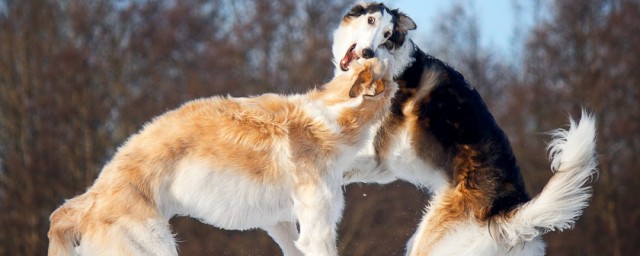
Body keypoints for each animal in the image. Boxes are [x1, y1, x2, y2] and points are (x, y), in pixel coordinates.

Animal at [48, 54, 396, 256]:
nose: (375, 49)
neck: (332, 115)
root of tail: (88, 201)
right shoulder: (317, 222)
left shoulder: (280, 221)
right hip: (152, 245)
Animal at [332, 2, 596, 256]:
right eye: (370, 20)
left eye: (387, 35)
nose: (367, 52)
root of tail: (506, 213)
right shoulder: (380, 165)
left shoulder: (376, 154)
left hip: (430, 240)